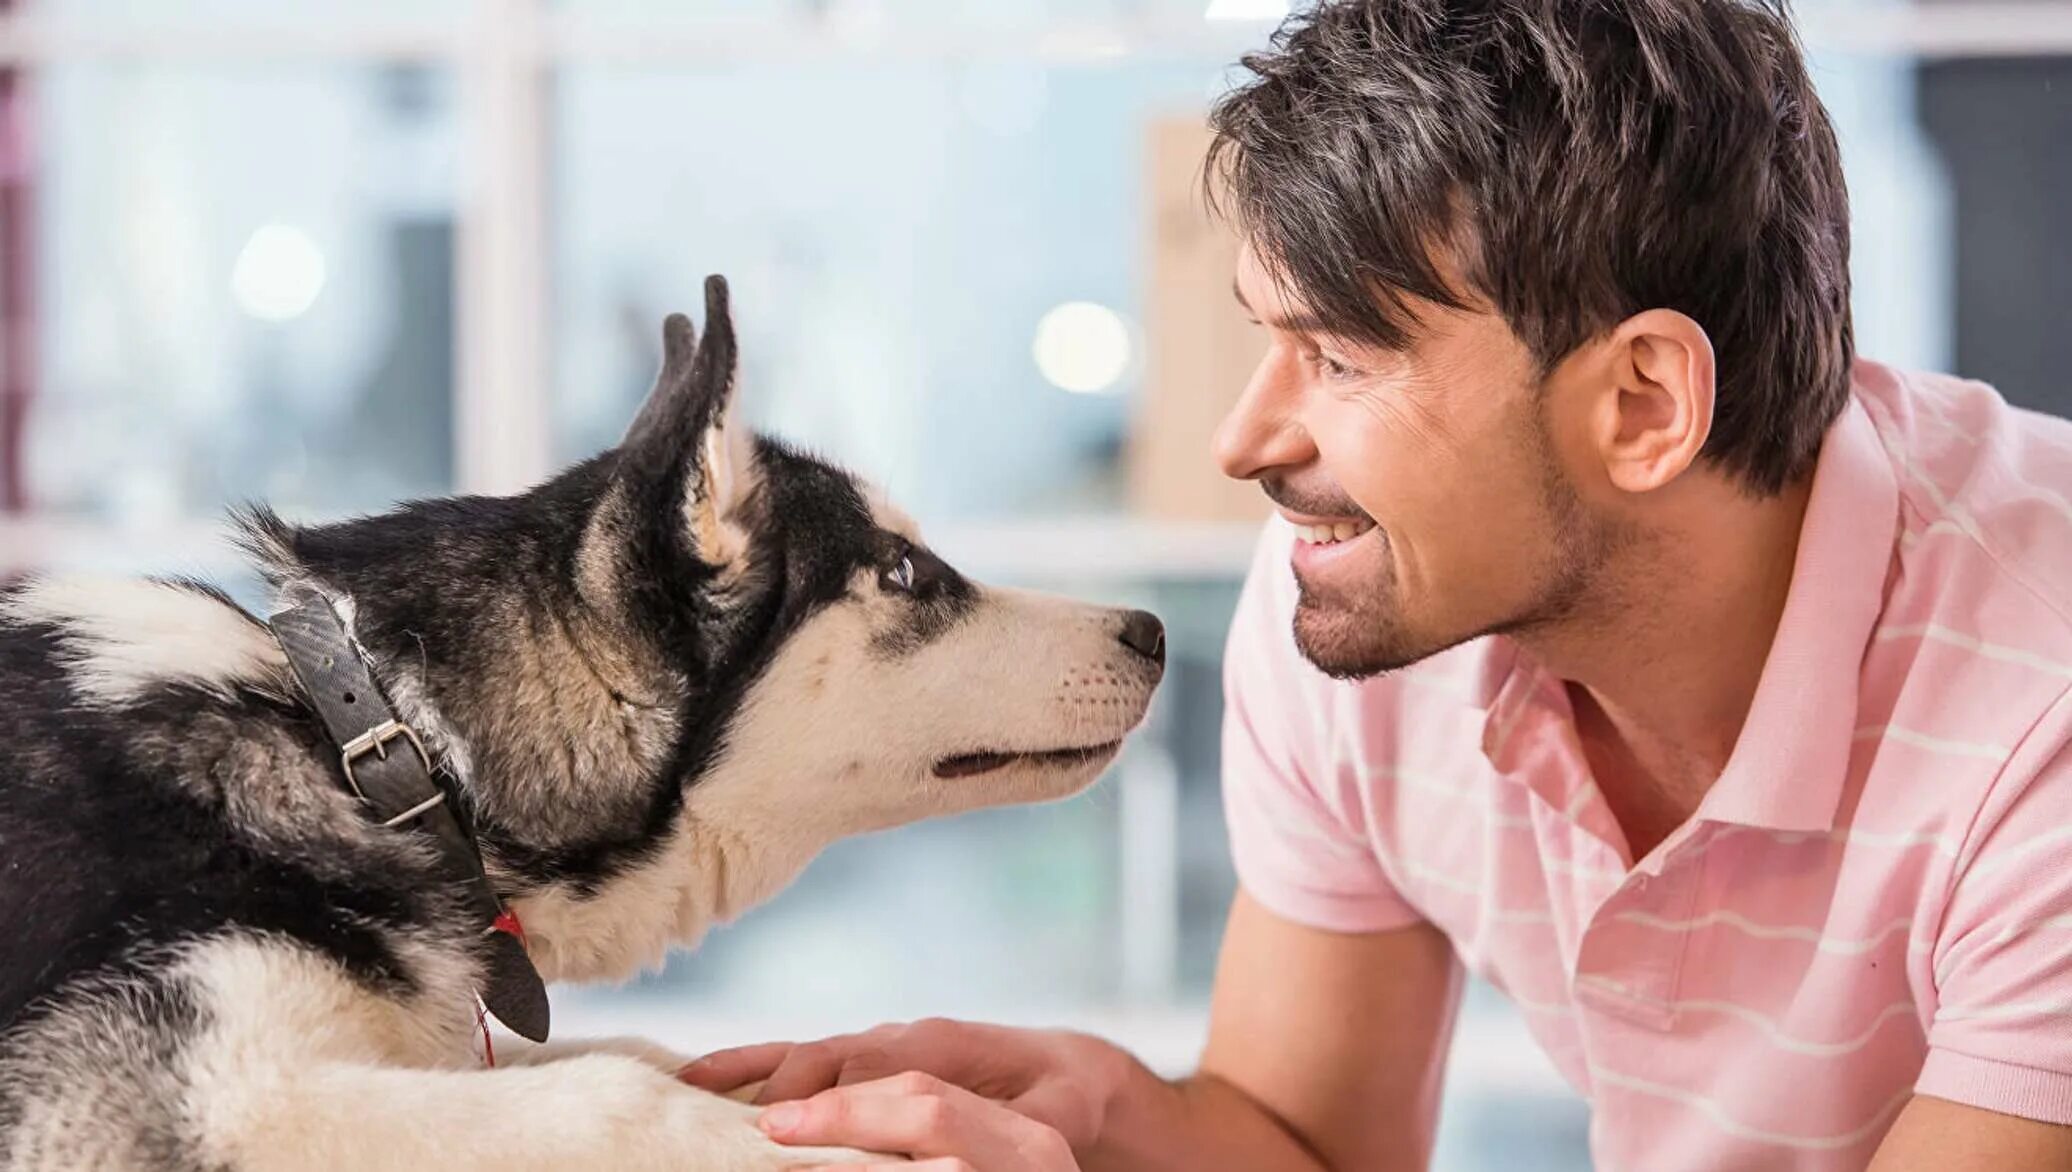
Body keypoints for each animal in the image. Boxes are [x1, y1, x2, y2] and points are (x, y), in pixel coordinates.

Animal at [0, 277, 1168, 1172]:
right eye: (905, 573)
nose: (1153, 629)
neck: (378, 746)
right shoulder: (220, 1094)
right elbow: (618, 1091)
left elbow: (643, 1056)